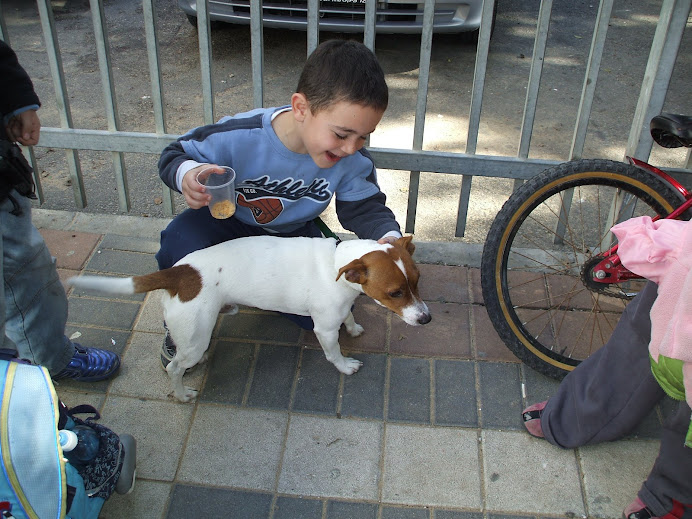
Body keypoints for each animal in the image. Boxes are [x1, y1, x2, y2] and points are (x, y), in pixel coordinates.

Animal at [67, 236, 430, 402]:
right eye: (395, 292)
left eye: (417, 281)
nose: (426, 319)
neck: (337, 265)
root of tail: (180, 273)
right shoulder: (324, 328)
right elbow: (334, 352)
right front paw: (345, 365)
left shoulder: (343, 306)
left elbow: (350, 317)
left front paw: (353, 327)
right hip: (194, 338)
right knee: (175, 368)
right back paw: (182, 394)